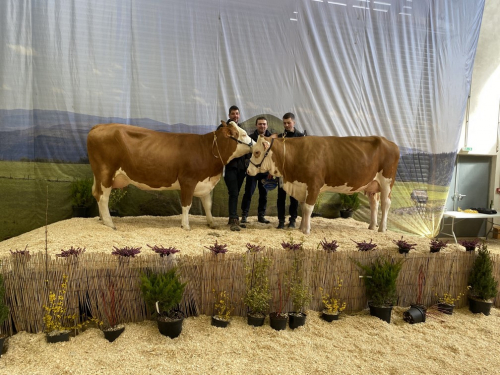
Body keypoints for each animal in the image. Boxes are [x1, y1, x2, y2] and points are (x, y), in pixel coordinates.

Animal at [85, 122, 254, 231]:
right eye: (244, 134)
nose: (254, 142)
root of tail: (99, 126)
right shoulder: (188, 181)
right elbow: (186, 205)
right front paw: (185, 225)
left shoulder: (204, 183)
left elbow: (207, 205)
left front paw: (212, 223)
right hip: (106, 173)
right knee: (103, 197)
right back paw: (110, 223)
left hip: (99, 175)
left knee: (96, 194)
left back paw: (102, 219)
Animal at [248, 135, 400, 235]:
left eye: (257, 152)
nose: (248, 171)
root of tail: (390, 143)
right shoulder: (303, 187)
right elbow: (303, 208)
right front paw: (301, 228)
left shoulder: (314, 185)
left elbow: (308, 208)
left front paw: (306, 230)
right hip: (372, 185)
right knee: (374, 203)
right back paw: (372, 226)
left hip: (387, 182)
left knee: (386, 203)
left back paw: (382, 228)